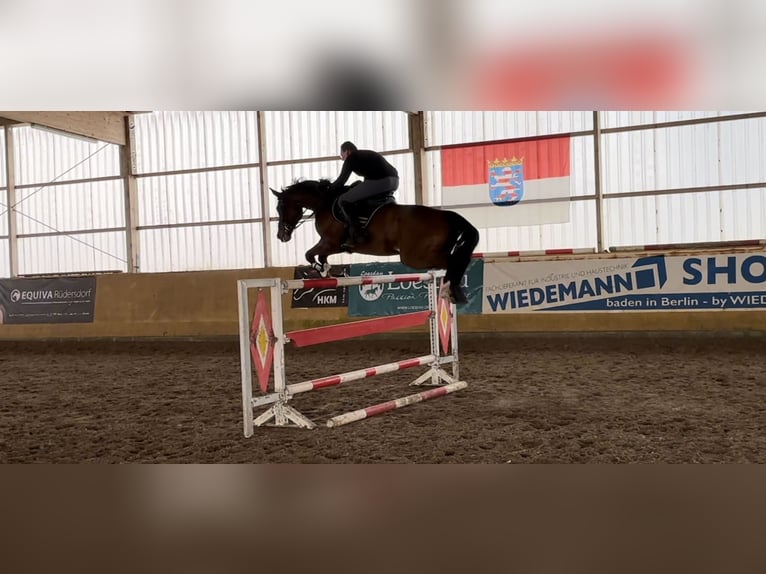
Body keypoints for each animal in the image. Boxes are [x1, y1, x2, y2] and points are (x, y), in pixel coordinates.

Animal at [270, 178, 480, 304]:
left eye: (281, 208)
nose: (281, 236)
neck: (325, 203)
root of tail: (447, 216)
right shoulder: (335, 246)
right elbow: (320, 256)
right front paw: (325, 270)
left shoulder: (331, 242)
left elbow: (310, 254)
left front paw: (321, 271)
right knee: (458, 262)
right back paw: (456, 293)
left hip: (415, 257)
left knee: (454, 261)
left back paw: (448, 291)